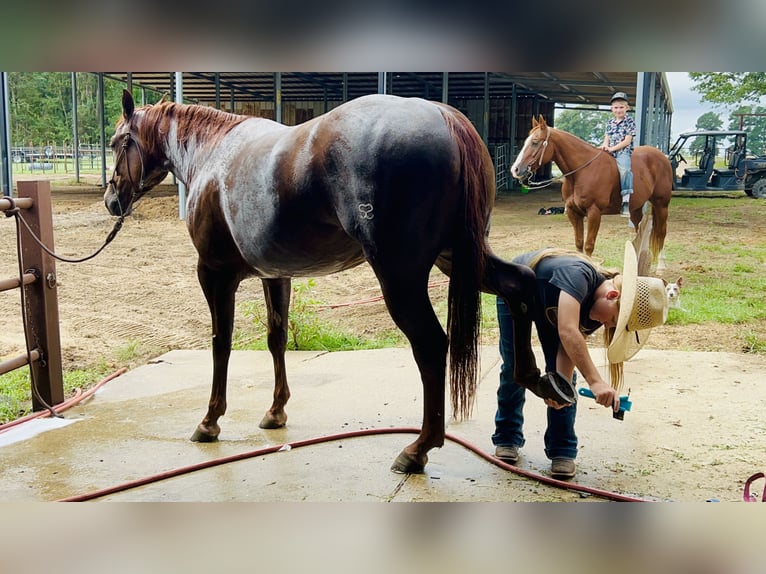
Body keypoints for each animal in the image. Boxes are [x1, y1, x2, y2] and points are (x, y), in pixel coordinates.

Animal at [103, 90, 552, 474]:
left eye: (117, 142)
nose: (111, 201)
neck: (214, 155)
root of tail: (444, 116)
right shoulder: (277, 275)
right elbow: (277, 338)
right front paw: (275, 412)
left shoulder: (214, 274)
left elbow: (221, 344)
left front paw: (210, 421)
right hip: (460, 257)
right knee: (520, 283)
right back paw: (537, 378)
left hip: (401, 276)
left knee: (429, 345)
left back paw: (418, 449)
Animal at [512, 115, 676, 264]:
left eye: (535, 142)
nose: (515, 169)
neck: (582, 171)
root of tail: (663, 157)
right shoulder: (574, 213)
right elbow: (579, 243)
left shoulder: (594, 213)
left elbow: (589, 245)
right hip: (636, 208)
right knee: (639, 231)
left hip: (661, 204)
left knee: (662, 232)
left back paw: (661, 265)